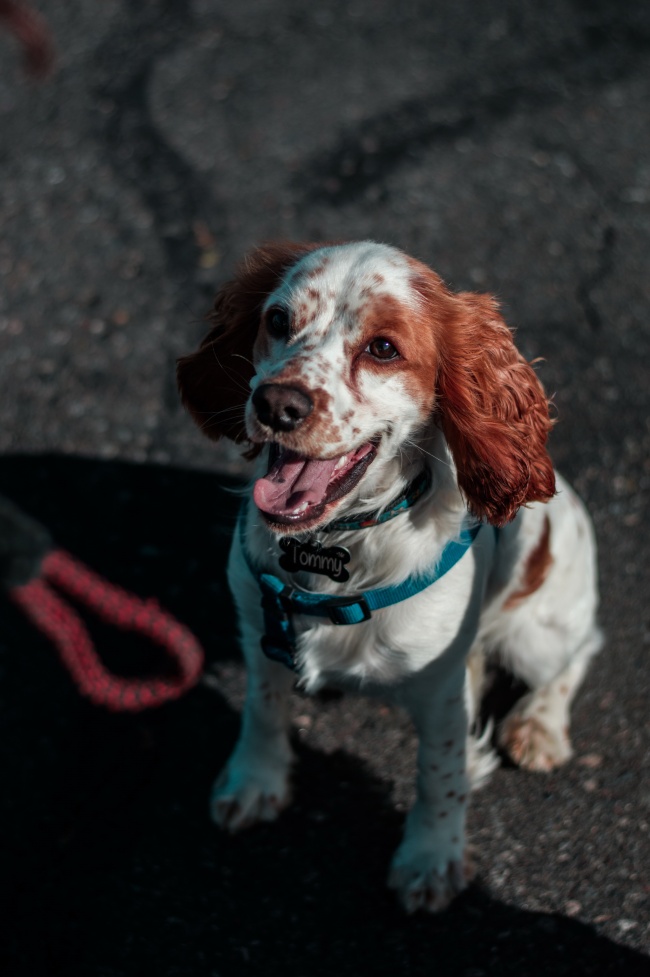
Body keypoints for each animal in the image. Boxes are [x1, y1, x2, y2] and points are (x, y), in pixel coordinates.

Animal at [175, 240, 600, 912]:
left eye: (382, 348)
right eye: (277, 320)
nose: (276, 403)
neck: (334, 549)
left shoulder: (442, 690)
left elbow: (440, 774)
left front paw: (430, 858)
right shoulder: (258, 627)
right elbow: (262, 711)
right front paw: (253, 780)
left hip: (539, 633)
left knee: (580, 650)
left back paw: (540, 726)